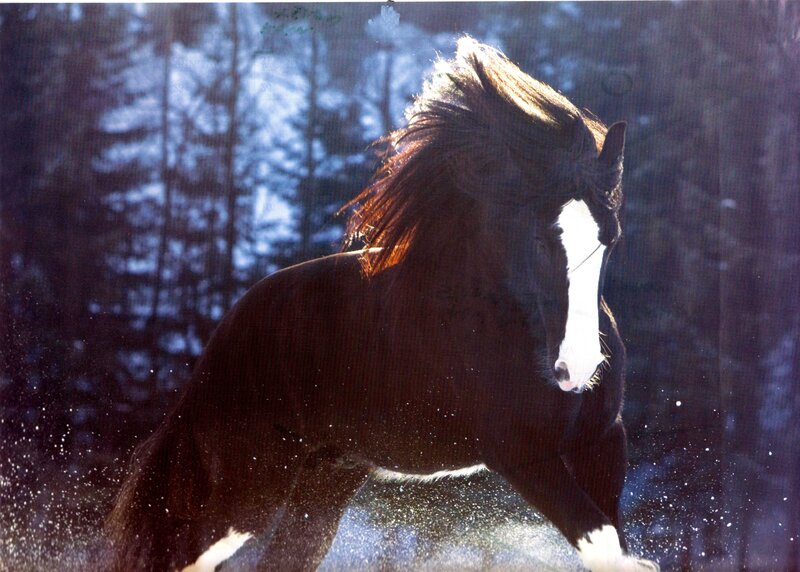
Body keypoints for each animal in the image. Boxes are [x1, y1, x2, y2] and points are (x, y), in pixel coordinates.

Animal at [106, 38, 659, 572]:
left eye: (610, 238)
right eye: (544, 240)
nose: (577, 369)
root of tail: (222, 340)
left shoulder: (602, 442)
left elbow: (616, 544)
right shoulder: (522, 456)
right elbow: (606, 545)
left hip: (325, 478)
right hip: (249, 484)